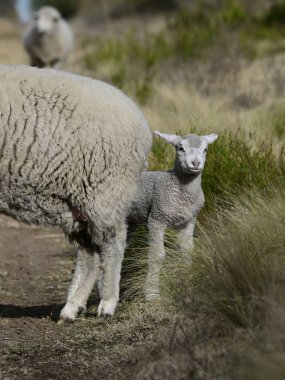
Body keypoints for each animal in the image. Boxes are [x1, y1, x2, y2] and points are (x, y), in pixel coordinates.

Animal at [0, 64, 152, 320]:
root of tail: (142, 124)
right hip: (77, 203)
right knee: (90, 253)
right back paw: (71, 308)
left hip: (104, 192)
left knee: (113, 244)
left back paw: (107, 305)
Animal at [126, 131, 217, 300]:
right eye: (180, 148)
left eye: (205, 149)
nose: (195, 163)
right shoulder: (157, 219)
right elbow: (157, 256)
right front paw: (152, 293)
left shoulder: (189, 221)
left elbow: (187, 252)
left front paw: (189, 285)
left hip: (130, 222)